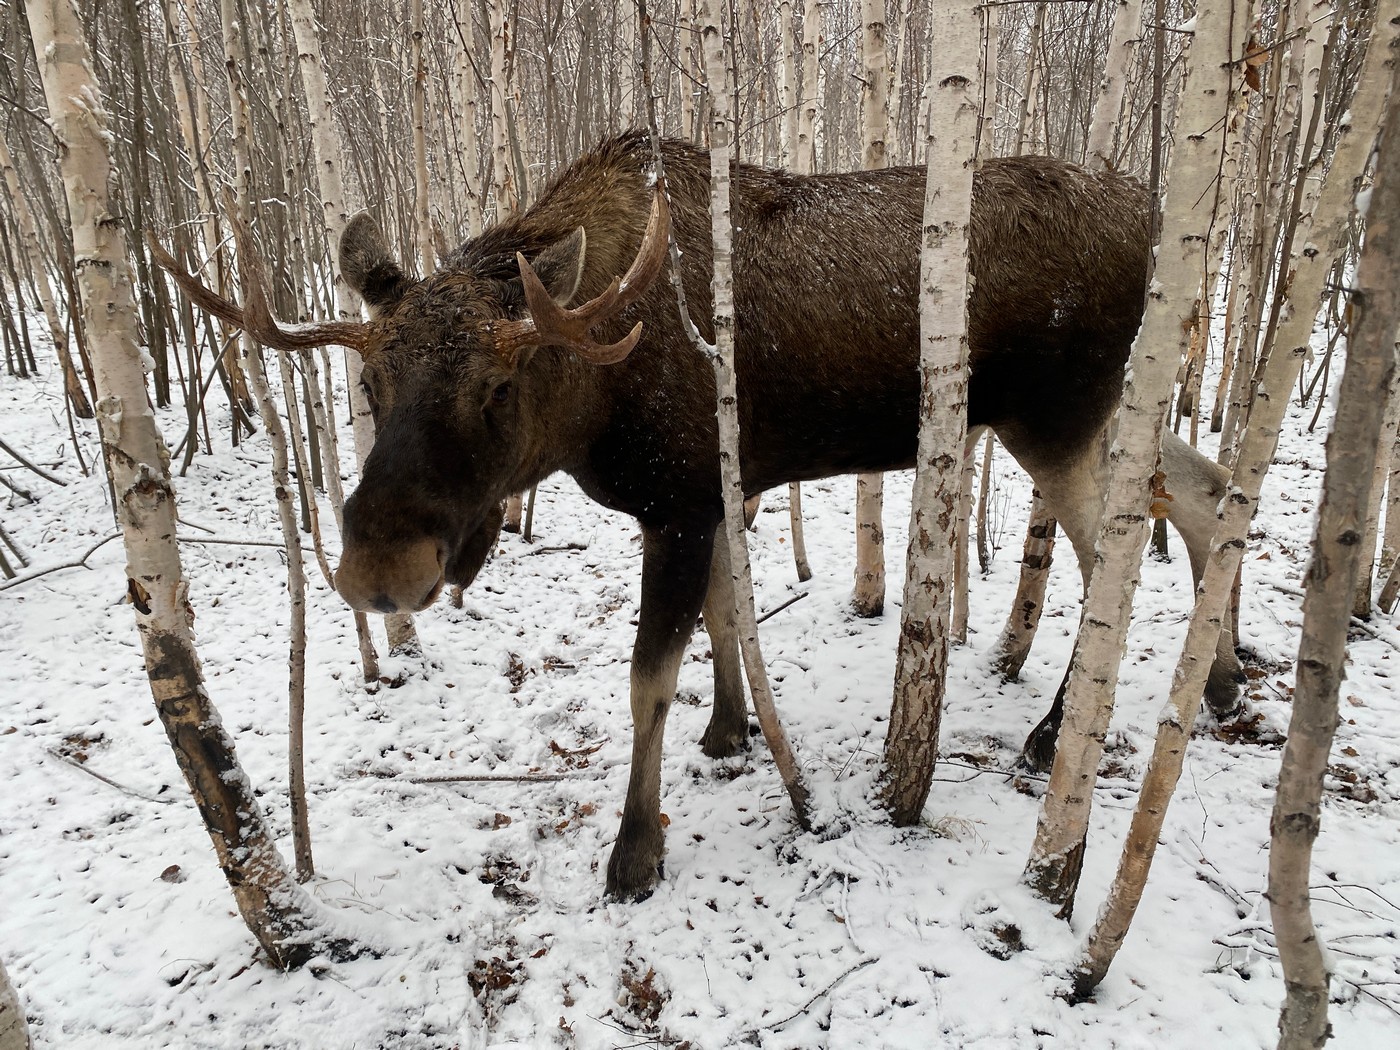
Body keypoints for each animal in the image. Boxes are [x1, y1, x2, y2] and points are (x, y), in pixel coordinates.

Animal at [156, 133, 1248, 907]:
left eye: (499, 385)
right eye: (371, 384)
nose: (380, 567)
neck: (594, 391)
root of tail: (1158, 218)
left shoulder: (676, 504)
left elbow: (649, 676)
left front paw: (635, 850)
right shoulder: (714, 495)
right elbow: (725, 616)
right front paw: (729, 730)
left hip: (1056, 420)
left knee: (1118, 559)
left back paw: (1055, 729)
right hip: (1106, 412)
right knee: (1209, 491)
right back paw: (1224, 680)